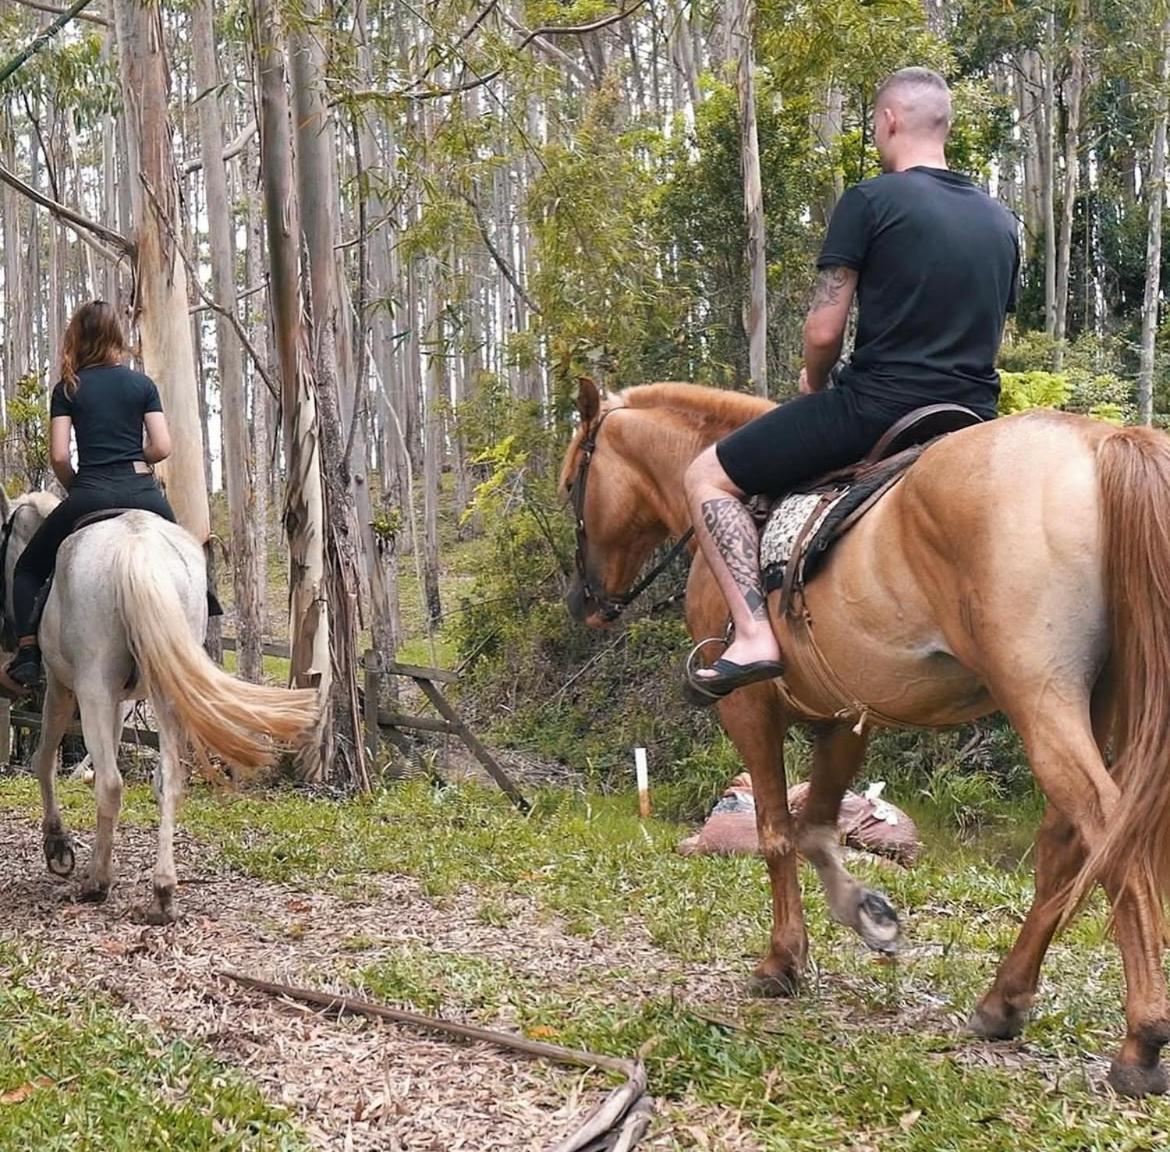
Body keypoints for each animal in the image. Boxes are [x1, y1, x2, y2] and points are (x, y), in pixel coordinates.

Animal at [0, 491, 319, 924]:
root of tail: (137, 546)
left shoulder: (62, 688)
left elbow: (43, 760)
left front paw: (59, 848)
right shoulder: (116, 700)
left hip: (93, 687)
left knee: (110, 783)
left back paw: (97, 883)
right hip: (164, 689)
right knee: (168, 780)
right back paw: (163, 892)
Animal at [560, 376, 1170, 1097]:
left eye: (573, 483)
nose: (583, 603)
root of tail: (1103, 443)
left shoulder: (749, 709)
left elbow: (776, 834)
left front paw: (782, 962)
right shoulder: (848, 715)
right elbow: (817, 829)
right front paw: (867, 913)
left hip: (1040, 697)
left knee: (1110, 830)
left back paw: (1140, 1042)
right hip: (1096, 703)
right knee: (1065, 845)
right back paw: (1002, 1002)